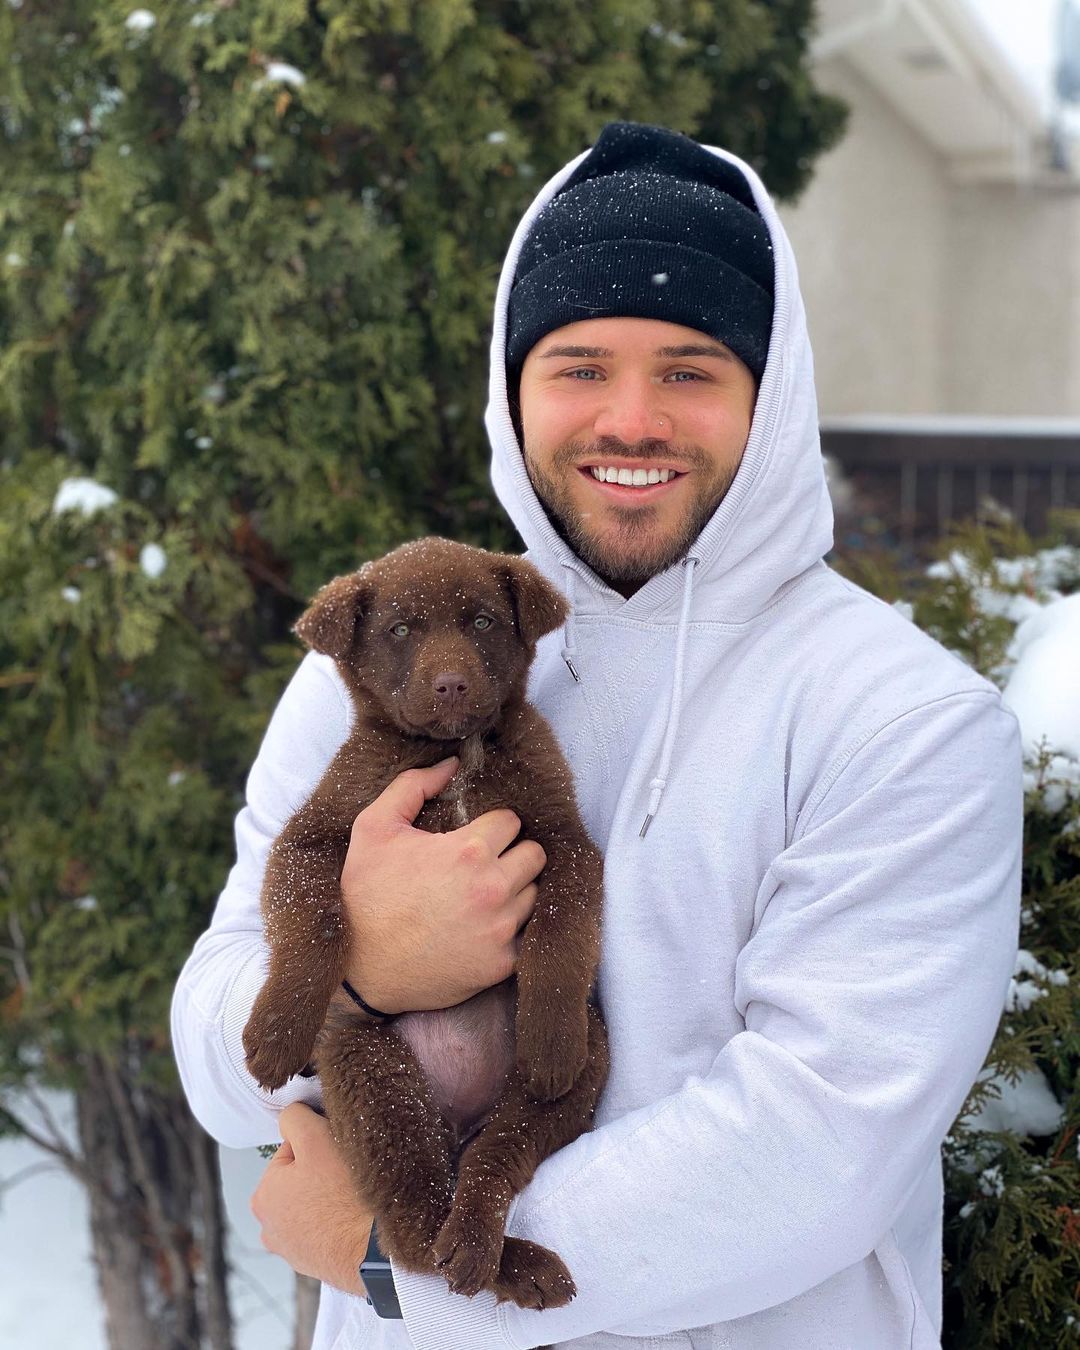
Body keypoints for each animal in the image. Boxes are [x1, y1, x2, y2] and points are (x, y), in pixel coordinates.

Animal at [245, 534, 612, 1306]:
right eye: (400, 631)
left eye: (480, 621)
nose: (449, 685)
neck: (456, 751)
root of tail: (462, 1115)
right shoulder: (311, 837)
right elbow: (314, 919)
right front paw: (275, 1034)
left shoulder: (564, 838)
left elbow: (561, 931)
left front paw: (549, 1036)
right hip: (372, 1077)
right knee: (414, 1230)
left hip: (583, 1061)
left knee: (494, 1160)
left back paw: (498, 1253)